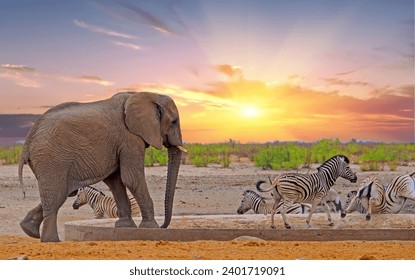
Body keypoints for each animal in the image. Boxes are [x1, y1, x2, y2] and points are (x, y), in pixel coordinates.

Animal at [19, 92, 185, 243]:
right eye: (174, 122)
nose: (164, 226)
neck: (150, 95)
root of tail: (27, 142)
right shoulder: (129, 137)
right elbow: (131, 178)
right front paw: (151, 228)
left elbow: (116, 181)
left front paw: (125, 226)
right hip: (52, 159)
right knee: (57, 196)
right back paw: (51, 241)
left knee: (62, 193)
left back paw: (28, 229)